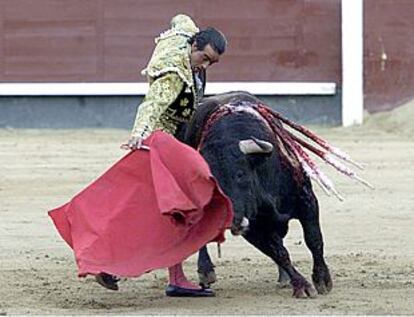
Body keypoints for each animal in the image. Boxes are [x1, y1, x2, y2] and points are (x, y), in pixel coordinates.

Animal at [180, 90, 332, 296]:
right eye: (211, 184)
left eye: (240, 174)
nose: (231, 220)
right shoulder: (252, 227)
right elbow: (279, 253)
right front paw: (302, 285)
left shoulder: (307, 201)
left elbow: (314, 239)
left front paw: (322, 279)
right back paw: (206, 272)